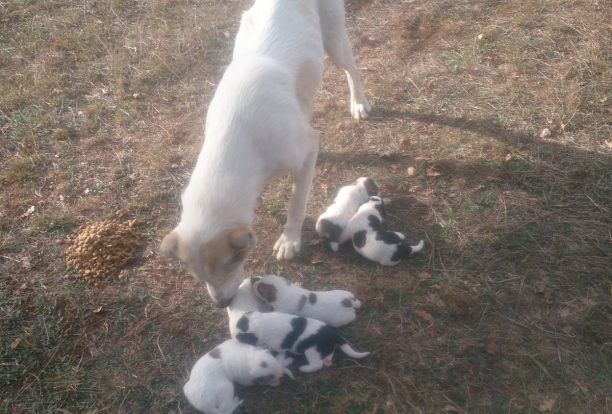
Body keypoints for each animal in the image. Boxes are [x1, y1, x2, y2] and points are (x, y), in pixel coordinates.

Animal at [160, 0, 370, 306]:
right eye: (199, 277)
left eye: (233, 262)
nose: (222, 303)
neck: (238, 137)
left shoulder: (308, 149)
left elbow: (297, 202)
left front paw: (290, 240)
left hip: (335, 42)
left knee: (352, 70)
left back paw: (359, 103)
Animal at [233, 310, 368, 376]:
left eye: (241, 337)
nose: (233, 338)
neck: (262, 322)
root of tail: (335, 336)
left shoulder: (281, 346)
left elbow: (279, 353)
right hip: (324, 349)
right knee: (330, 353)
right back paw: (327, 361)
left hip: (312, 350)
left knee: (317, 364)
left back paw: (305, 369)